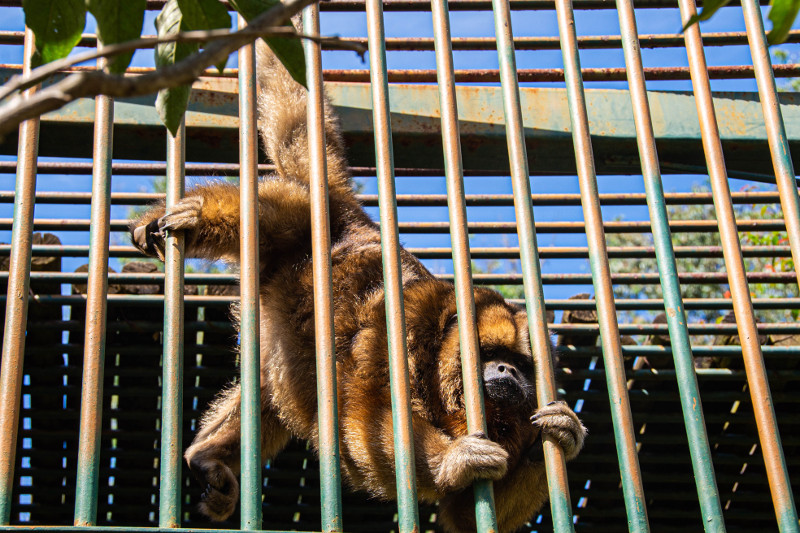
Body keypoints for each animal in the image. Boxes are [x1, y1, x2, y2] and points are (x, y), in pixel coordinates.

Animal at [130, 38, 580, 532]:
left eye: (522, 364)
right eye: (492, 354)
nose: (509, 372)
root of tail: (356, 219)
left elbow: (462, 514)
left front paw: (560, 437)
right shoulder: (404, 330)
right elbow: (364, 408)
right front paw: (455, 461)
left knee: (273, 394)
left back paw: (207, 455)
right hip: (313, 219)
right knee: (275, 215)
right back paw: (188, 214)